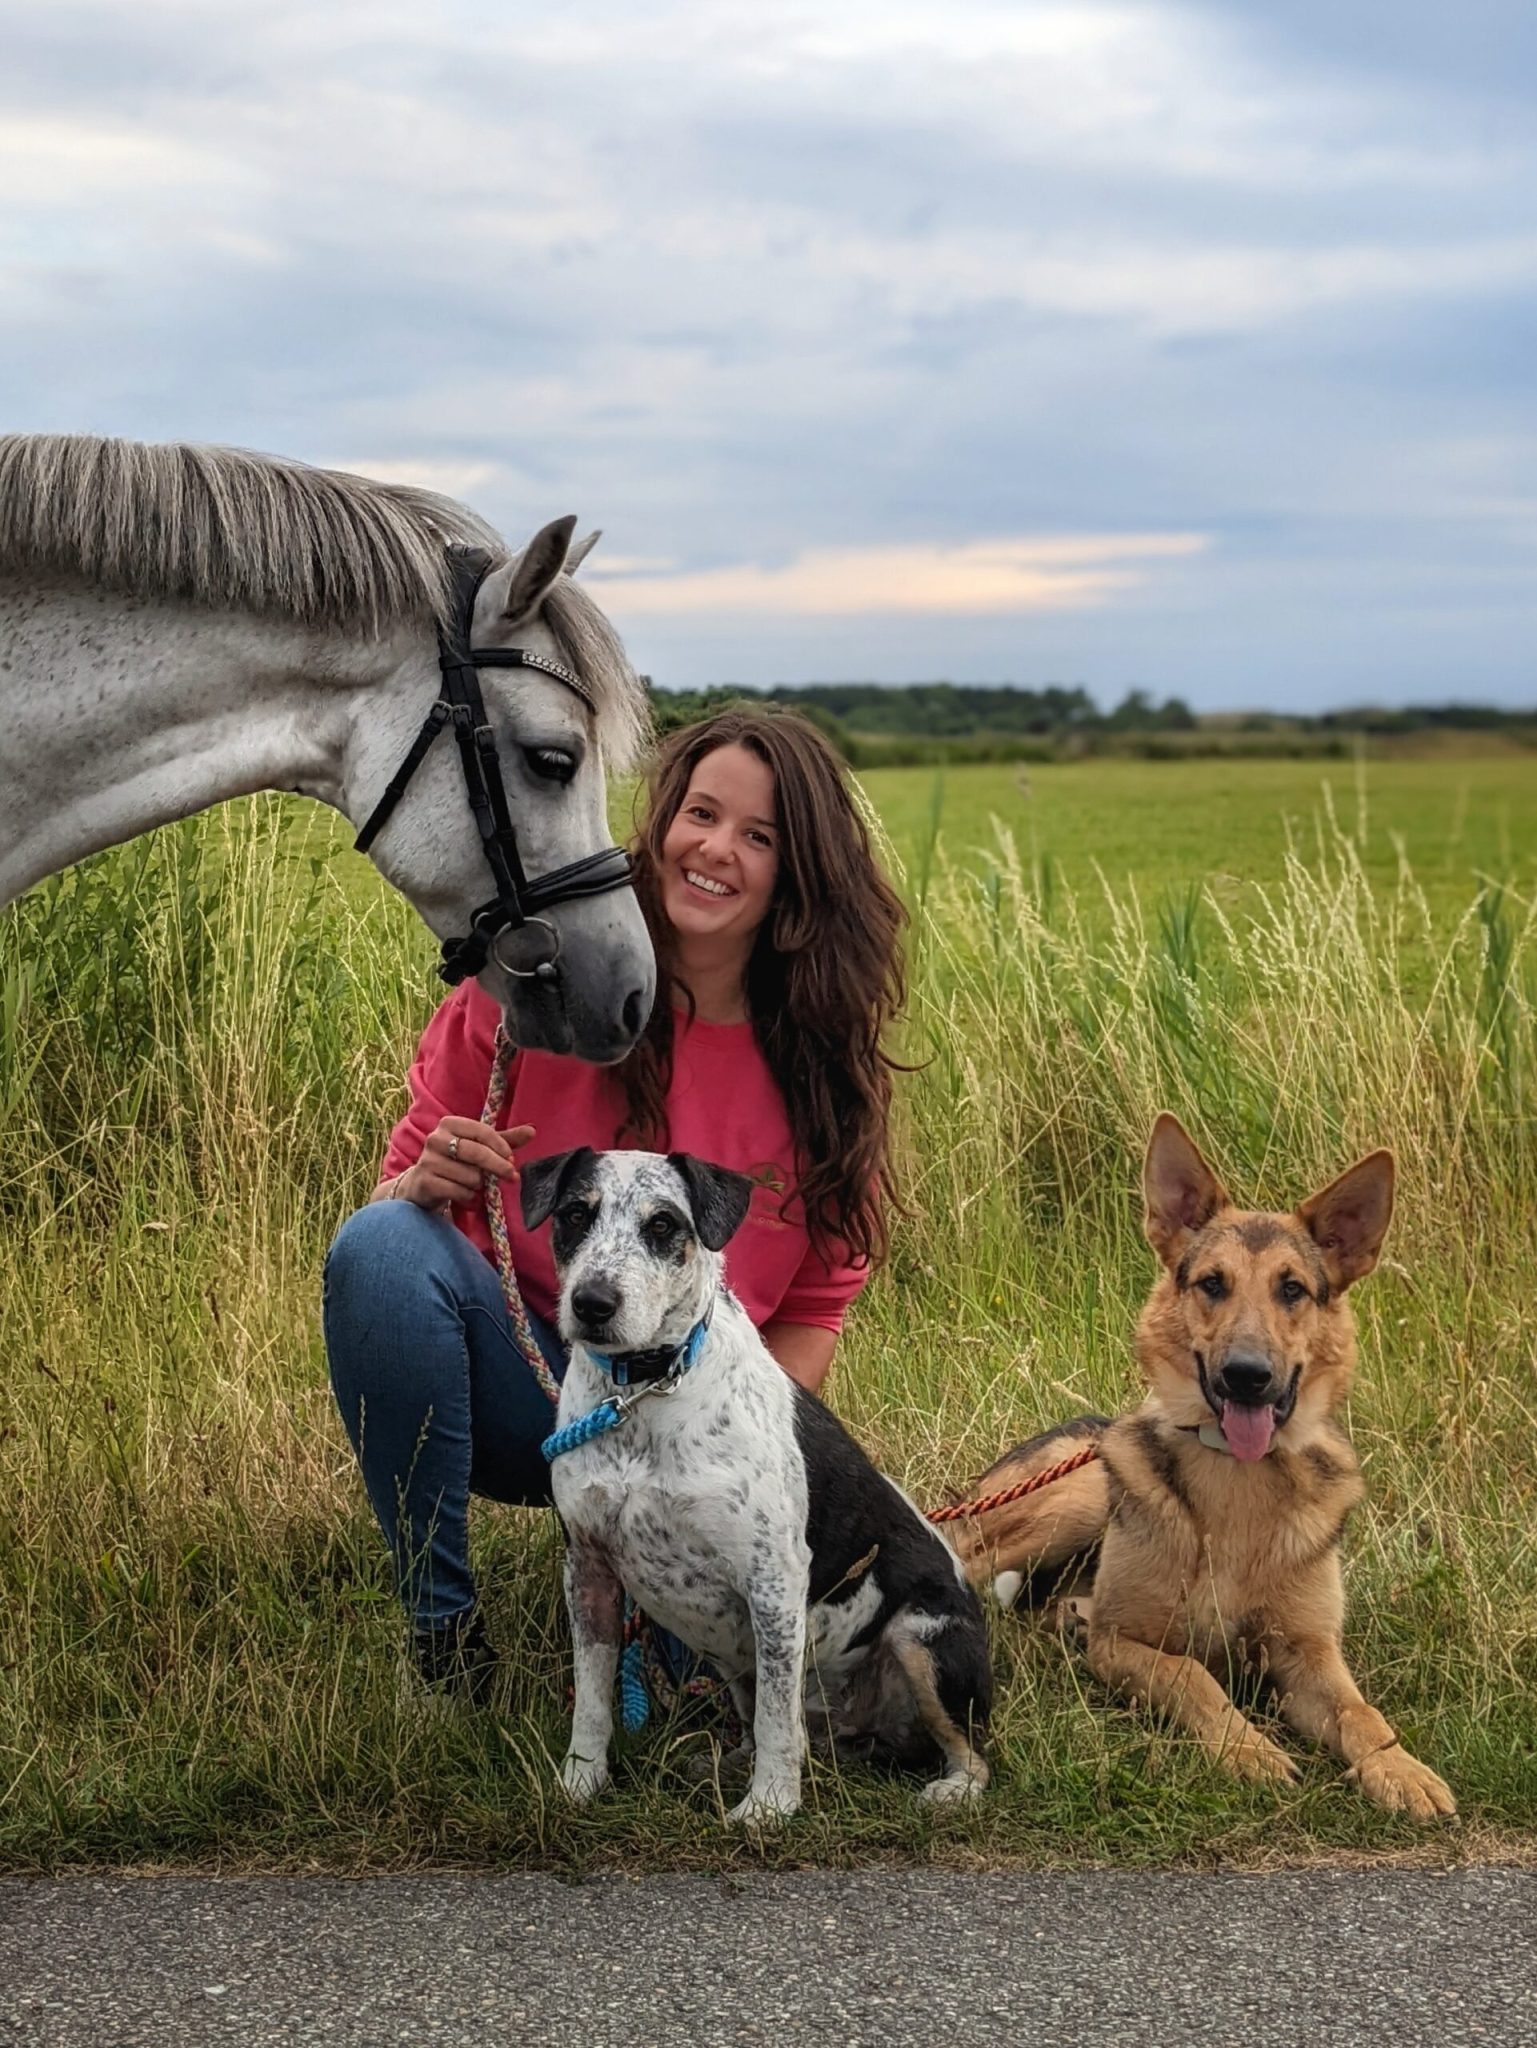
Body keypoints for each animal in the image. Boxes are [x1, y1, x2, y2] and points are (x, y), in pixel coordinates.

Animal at [520, 1155, 1000, 1826]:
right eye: (573, 1214)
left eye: (663, 1224)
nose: (592, 1303)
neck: (645, 1392)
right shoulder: (589, 1570)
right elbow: (592, 1700)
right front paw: (580, 1782)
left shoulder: (773, 1577)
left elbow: (777, 1719)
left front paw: (769, 1807)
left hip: (920, 1638)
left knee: (970, 1754)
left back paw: (950, 1788)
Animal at [959, 1122, 1459, 1826]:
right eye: (1212, 1284)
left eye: (1292, 1289)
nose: (1246, 1375)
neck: (1238, 1486)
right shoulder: (1118, 1644)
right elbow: (1190, 1676)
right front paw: (1246, 1749)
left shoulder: (1308, 1654)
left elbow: (1362, 1713)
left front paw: (1401, 1768)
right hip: (1071, 1502)